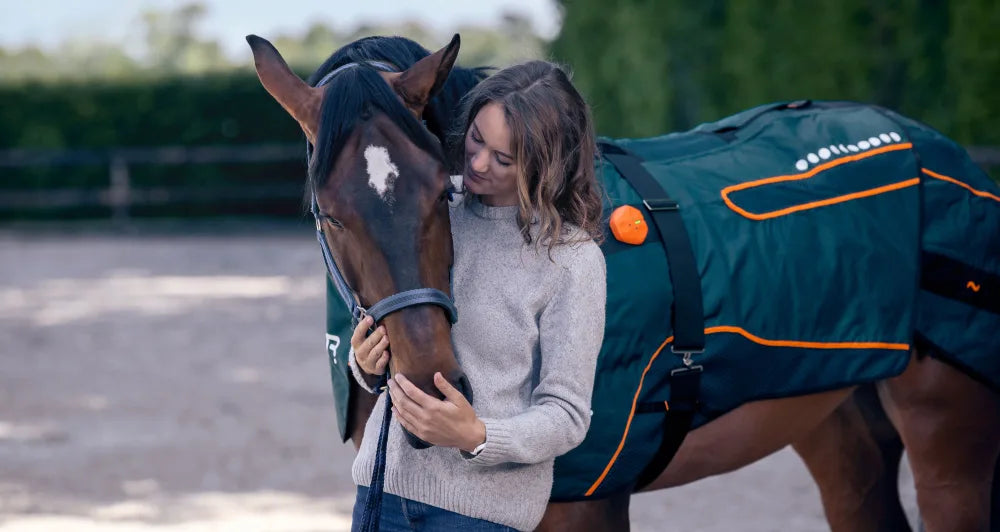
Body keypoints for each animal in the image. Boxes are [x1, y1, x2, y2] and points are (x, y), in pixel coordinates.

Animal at [246, 34, 1000, 531]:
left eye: (442, 190)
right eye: (331, 213)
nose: (436, 385)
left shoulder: (590, 507)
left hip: (949, 441)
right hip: (832, 413)